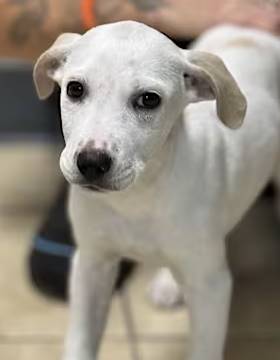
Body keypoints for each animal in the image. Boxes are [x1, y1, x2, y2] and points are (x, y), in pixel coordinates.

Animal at [34, 21, 280, 358]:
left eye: (149, 99)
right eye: (75, 89)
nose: (91, 163)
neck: (139, 196)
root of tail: (250, 32)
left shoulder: (211, 288)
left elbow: (204, 349)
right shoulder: (92, 264)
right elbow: (80, 342)